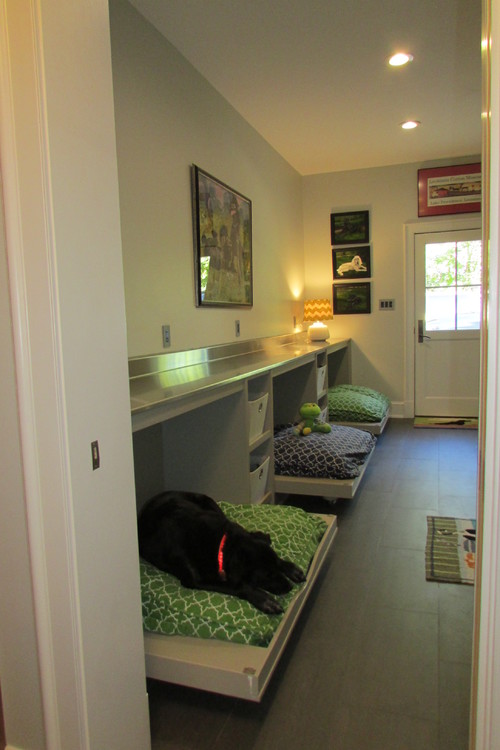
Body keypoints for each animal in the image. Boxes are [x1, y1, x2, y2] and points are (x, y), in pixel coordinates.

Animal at [137, 494, 304, 616]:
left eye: (274, 569)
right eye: (267, 575)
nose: (289, 587)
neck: (220, 545)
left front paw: (287, 567)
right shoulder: (195, 580)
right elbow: (238, 585)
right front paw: (265, 600)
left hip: (211, 504)